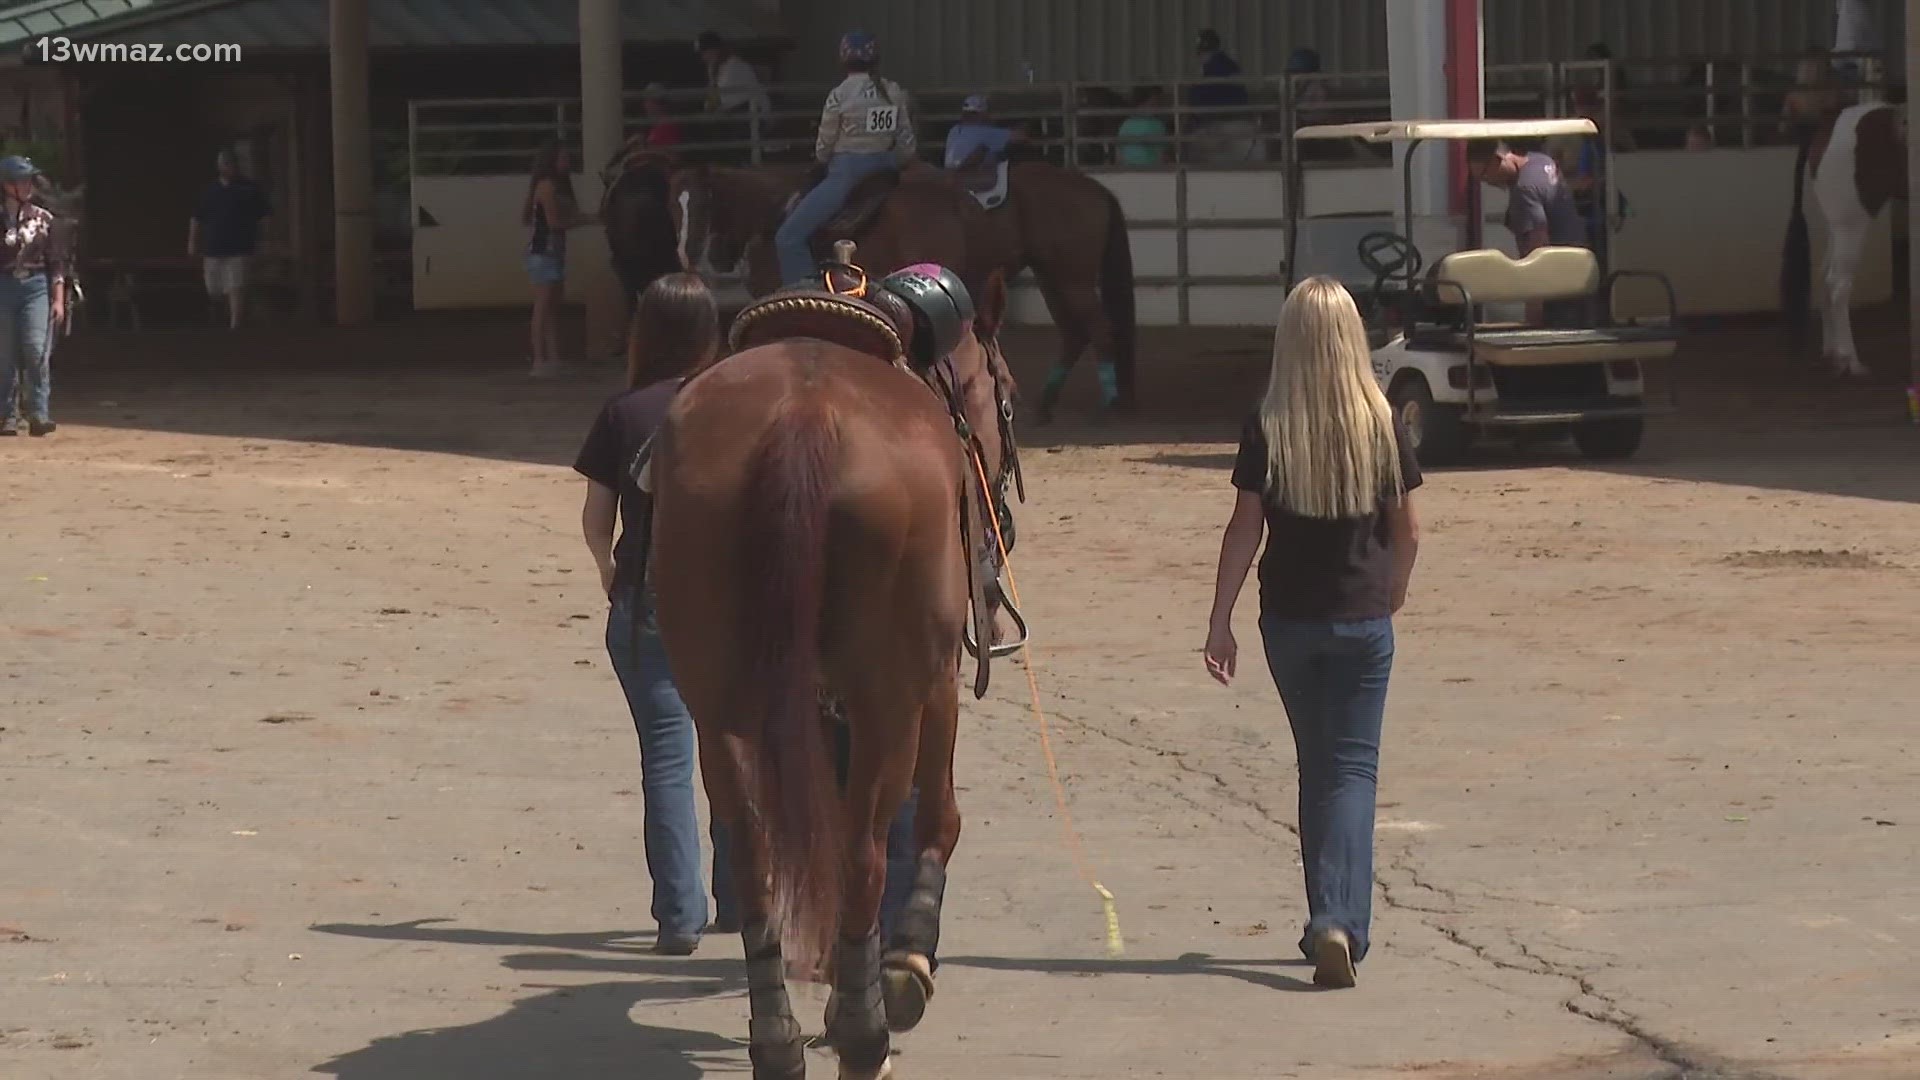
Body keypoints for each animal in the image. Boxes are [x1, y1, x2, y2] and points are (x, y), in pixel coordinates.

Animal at [645, 247, 1029, 1068]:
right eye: (1007, 397)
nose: (1004, 526)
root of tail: (805, 416)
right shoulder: (934, 684)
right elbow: (938, 820)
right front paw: (906, 961)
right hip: (891, 693)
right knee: (864, 851)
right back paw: (864, 1030)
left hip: (722, 697)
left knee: (758, 854)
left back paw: (779, 1036)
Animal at [668, 155, 1128, 417]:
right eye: (675, 204)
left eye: (703, 204)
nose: (689, 256)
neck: (776, 212)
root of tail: (1094, 186)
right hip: (1055, 276)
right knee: (1076, 333)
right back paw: (1048, 401)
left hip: (1071, 277)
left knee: (1100, 328)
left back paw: (1110, 403)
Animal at [1781, 99, 1904, 378]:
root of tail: (1827, 124)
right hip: (1852, 225)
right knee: (1838, 286)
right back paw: (1851, 361)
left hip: (1836, 227)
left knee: (1825, 278)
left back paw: (1833, 353)